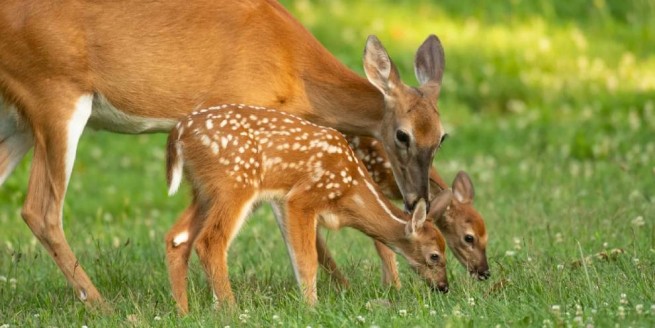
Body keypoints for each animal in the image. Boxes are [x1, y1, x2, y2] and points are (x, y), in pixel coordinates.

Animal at [165, 105, 452, 316]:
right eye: (435, 255)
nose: (443, 286)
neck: (351, 190)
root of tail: (178, 133)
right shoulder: (301, 198)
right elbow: (307, 258)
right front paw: (311, 307)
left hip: (203, 191)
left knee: (177, 238)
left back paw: (184, 312)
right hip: (235, 183)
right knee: (210, 240)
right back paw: (232, 311)